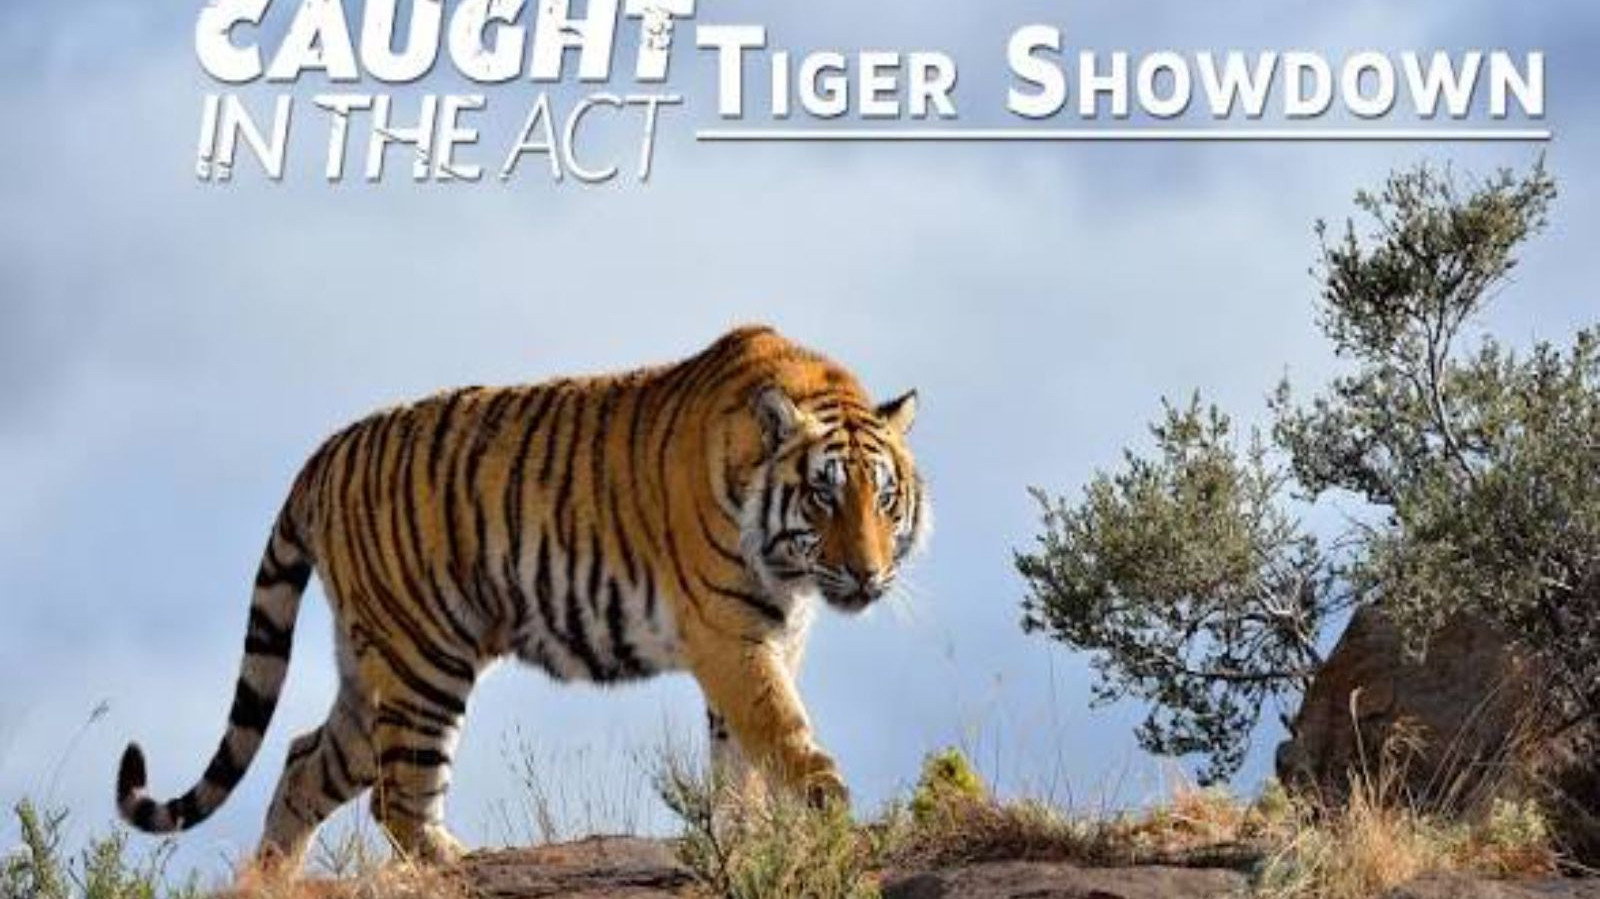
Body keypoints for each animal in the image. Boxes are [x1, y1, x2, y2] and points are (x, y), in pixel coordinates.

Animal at [114, 325, 929, 871]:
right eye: (823, 497)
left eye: (884, 500)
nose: (866, 574)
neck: (790, 568)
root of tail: (324, 452)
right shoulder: (730, 635)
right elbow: (780, 728)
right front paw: (828, 811)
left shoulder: (772, 636)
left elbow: (741, 756)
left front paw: (747, 835)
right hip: (424, 659)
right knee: (396, 796)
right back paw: (455, 862)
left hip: (370, 668)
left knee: (304, 761)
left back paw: (271, 881)